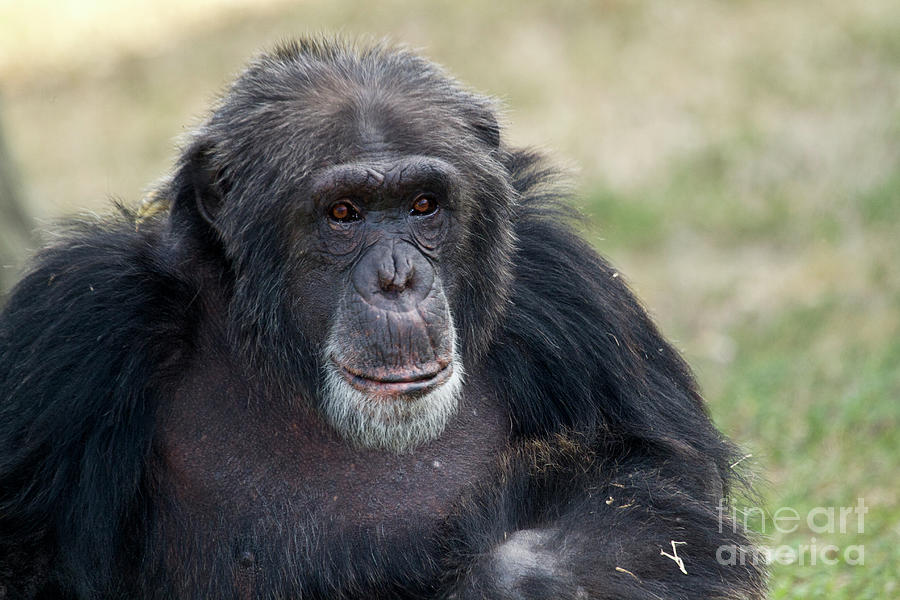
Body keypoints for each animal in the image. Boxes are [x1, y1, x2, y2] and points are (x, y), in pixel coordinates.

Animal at [0, 38, 764, 600]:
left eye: (423, 205)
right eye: (344, 213)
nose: (398, 279)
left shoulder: (570, 291)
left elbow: (657, 490)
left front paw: (514, 574)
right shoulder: (76, 319)